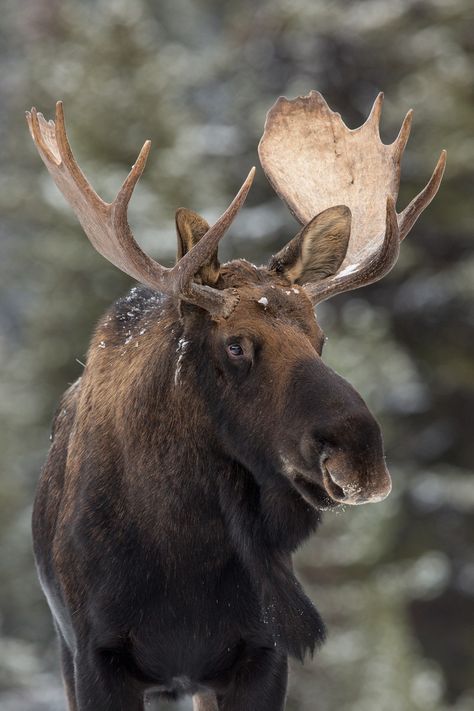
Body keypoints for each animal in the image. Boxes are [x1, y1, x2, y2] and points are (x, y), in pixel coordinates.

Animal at [28, 90, 444, 711]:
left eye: (320, 338)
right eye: (235, 344)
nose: (360, 455)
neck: (183, 551)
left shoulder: (261, 654)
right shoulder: (93, 656)